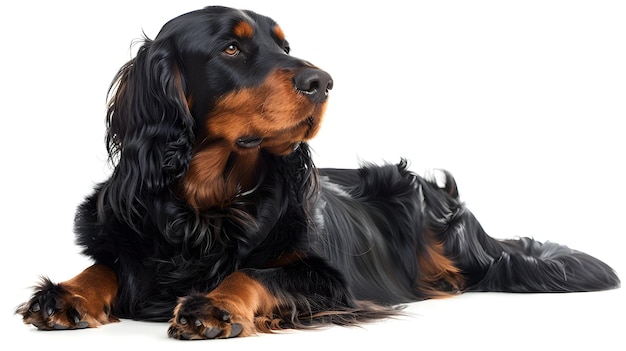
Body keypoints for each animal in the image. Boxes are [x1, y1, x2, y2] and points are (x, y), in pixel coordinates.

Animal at [15, 5, 620, 340]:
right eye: (231, 47)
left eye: (285, 44)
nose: (323, 81)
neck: (209, 205)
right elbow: (105, 266)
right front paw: (64, 294)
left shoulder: (329, 280)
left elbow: (254, 273)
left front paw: (213, 304)